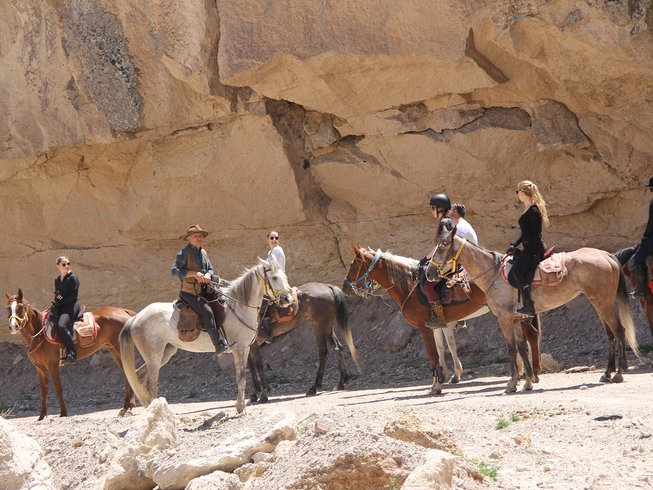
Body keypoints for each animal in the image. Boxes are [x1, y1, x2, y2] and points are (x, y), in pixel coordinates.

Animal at [5, 288, 136, 422]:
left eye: (21, 307)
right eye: (8, 308)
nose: (13, 327)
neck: (40, 334)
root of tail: (123, 311)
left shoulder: (52, 366)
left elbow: (58, 389)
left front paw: (63, 413)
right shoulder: (40, 369)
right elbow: (43, 392)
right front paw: (41, 417)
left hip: (119, 349)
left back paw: (127, 408)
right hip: (114, 349)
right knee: (127, 373)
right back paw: (126, 408)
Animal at [119, 256, 290, 414]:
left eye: (285, 276)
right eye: (274, 277)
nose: (287, 298)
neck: (239, 306)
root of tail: (136, 318)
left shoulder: (247, 348)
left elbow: (248, 373)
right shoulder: (240, 349)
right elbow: (241, 378)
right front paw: (242, 408)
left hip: (165, 353)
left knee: (139, 377)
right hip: (154, 357)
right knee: (151, 384)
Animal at [344, 245, 544, 394]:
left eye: (353, 264)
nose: (345, 287)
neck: (408, 284)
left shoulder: (424, 327)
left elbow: (433, 354)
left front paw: (437, 385)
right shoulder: (439, 324)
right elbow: (445, 347)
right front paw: (450, 376)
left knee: (531, 336)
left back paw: (533, 374)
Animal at [426, 228, 640, 392]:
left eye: (443, 245)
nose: (429, 272)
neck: (493, 273)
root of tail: (607, 255)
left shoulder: (504, 318)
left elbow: (511, 348)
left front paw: (512, 383)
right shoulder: (515, 319)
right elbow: (521, 347)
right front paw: (527, 381)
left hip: (603, 302)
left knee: (618, 330)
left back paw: (619, 372)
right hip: (599, 303)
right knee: (610, 334)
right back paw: (607, 373)